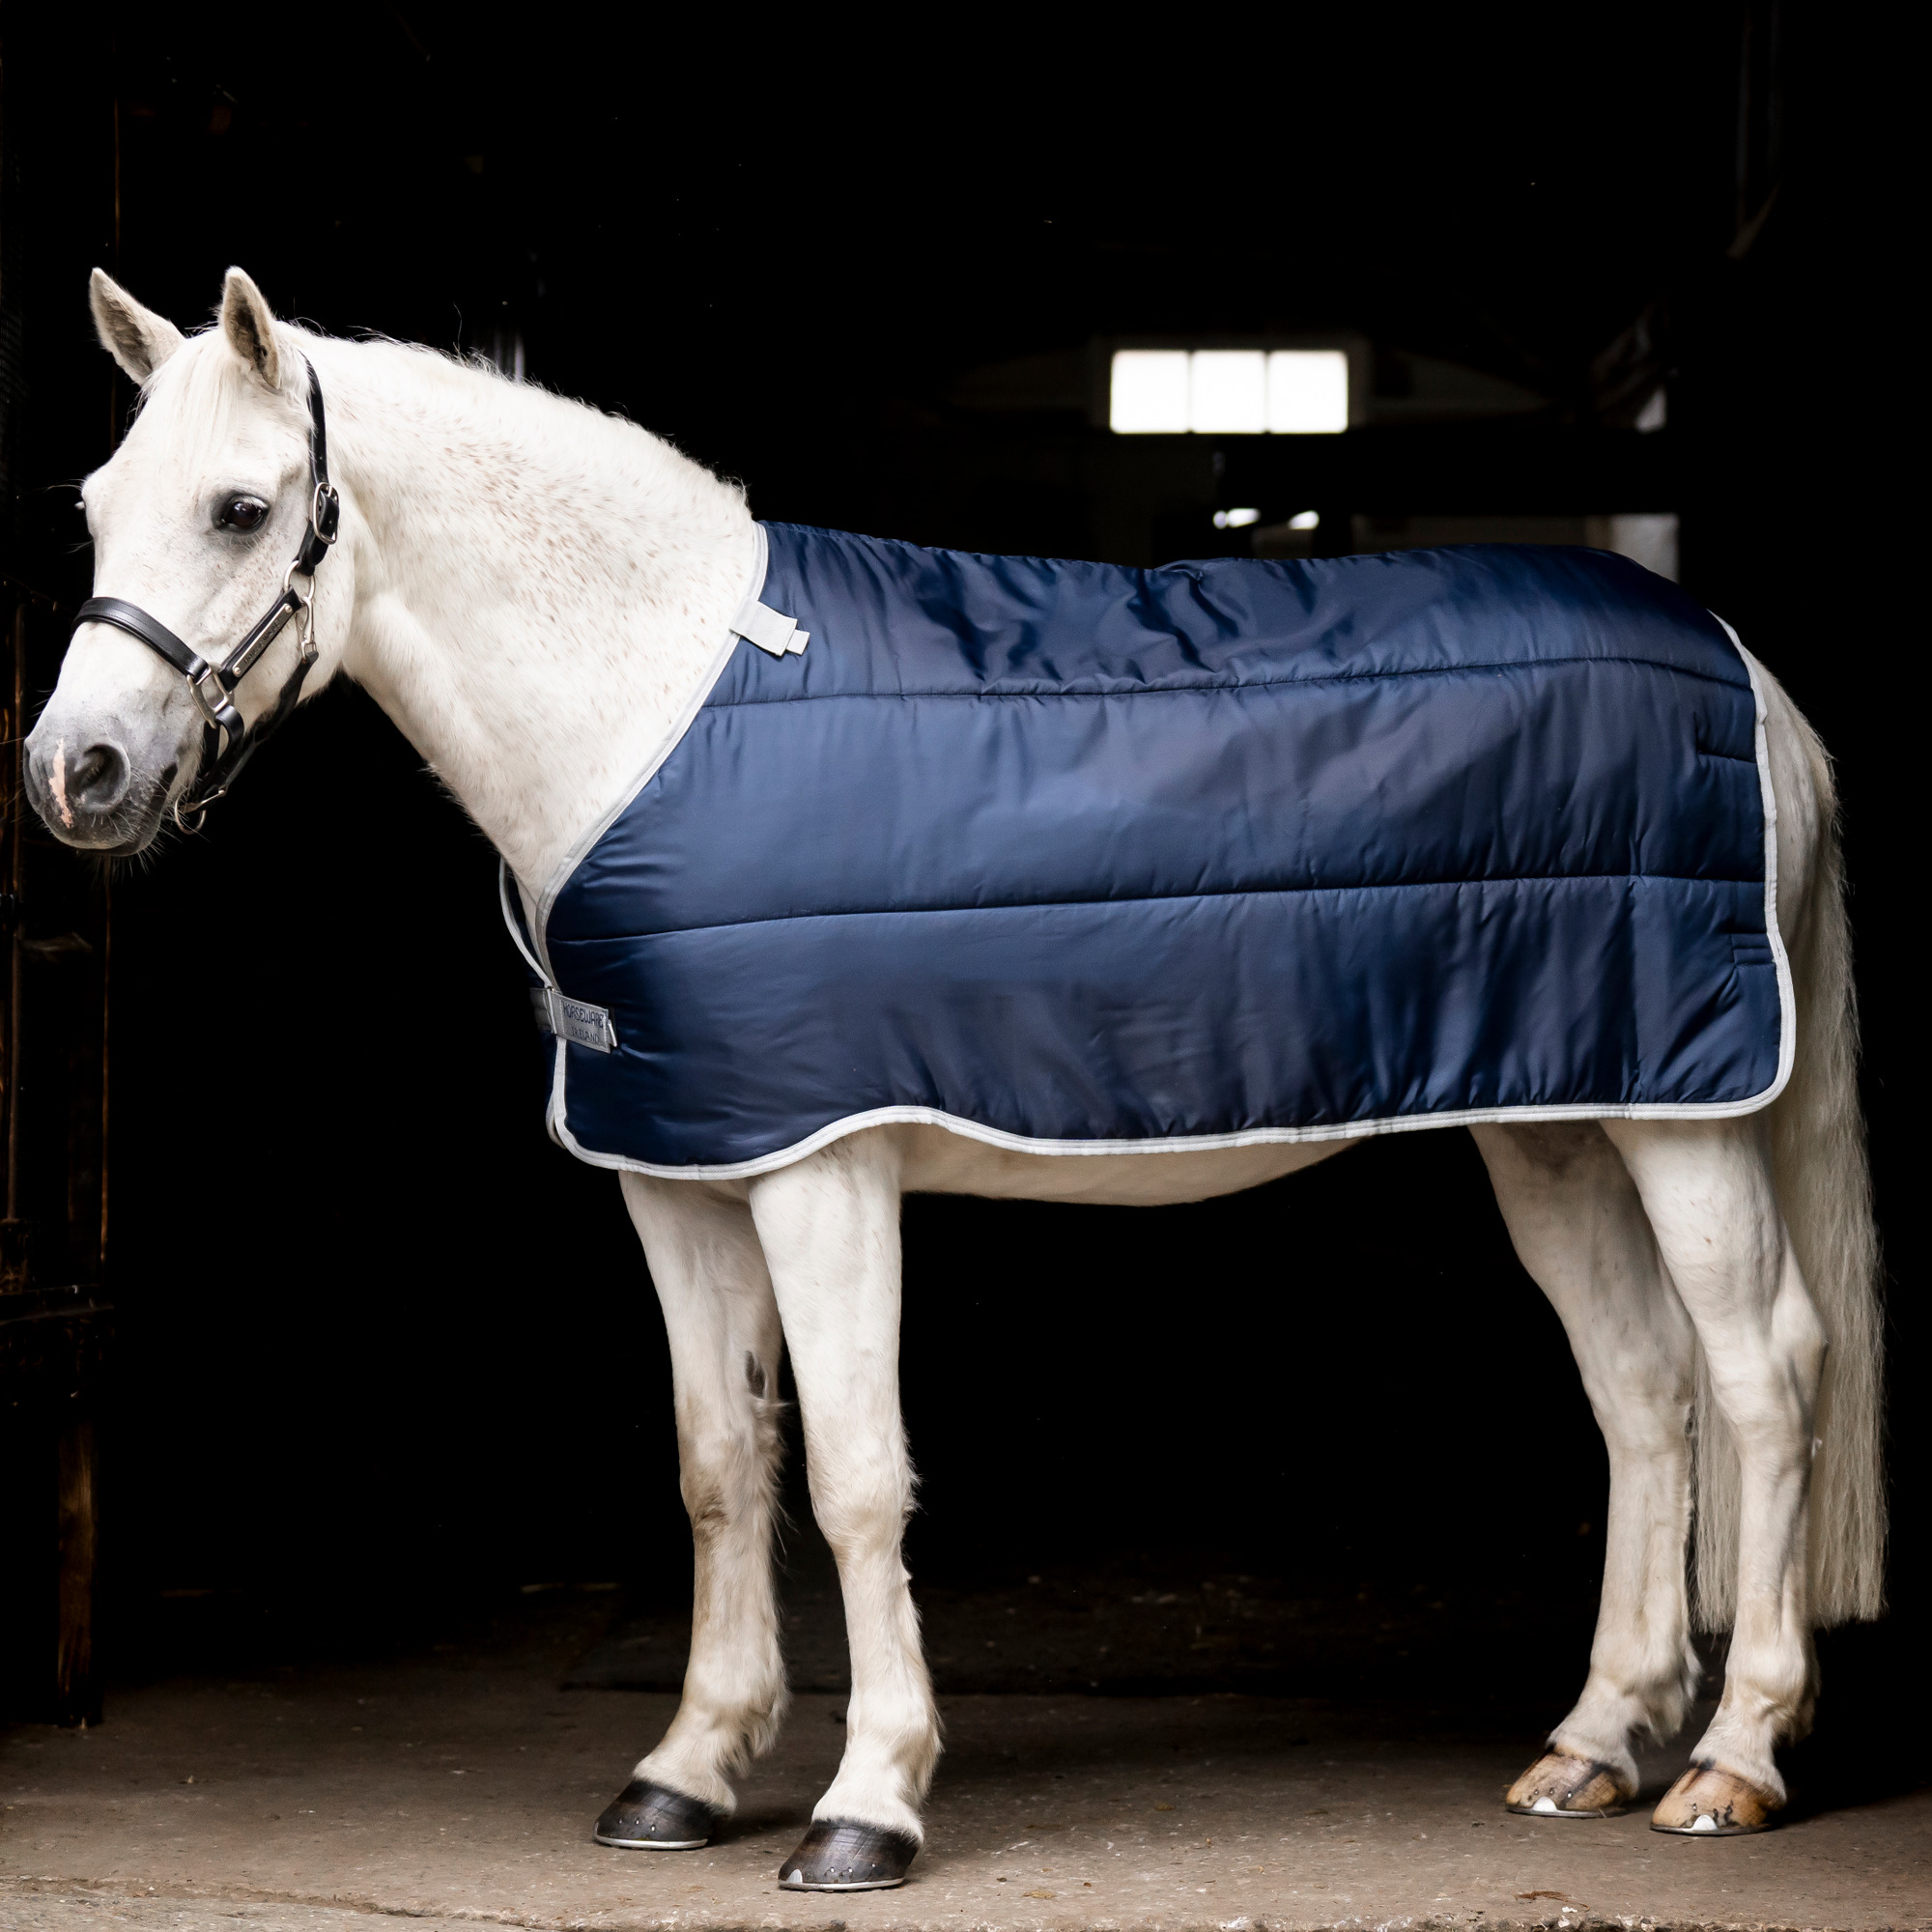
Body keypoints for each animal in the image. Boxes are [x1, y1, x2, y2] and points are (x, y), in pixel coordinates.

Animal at [24, 267, 1885, 1892]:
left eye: (243, 509)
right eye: (100, 504)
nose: (75, 773)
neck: (662, 696)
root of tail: (1746, 671)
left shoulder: (820, 1168)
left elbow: (855, 1478)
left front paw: (868, 1806)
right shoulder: (678, 1168)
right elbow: (719, 1465)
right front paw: (687, 1772)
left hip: (1682, 1122)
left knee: (1762, 1376)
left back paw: (1734, 1758)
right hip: (1555, 1119)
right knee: (1641, 1389)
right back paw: (1594, 1743)